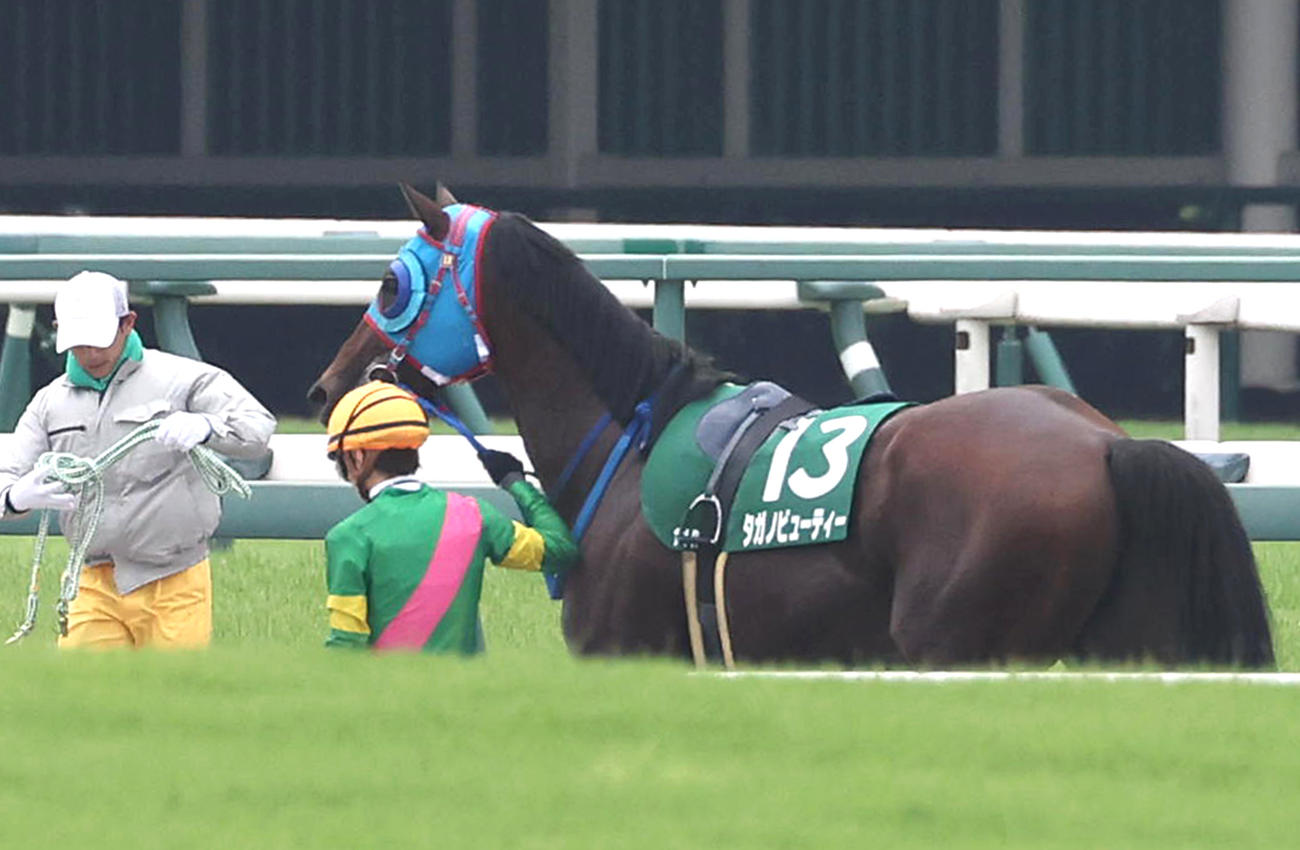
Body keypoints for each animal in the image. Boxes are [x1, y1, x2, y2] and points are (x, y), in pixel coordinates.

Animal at [308, 184, 1274, 669]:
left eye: (391, 284)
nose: (327, 385)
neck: (628, 444)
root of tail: (1110, 443)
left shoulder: (625, 652)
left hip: (955, 642)